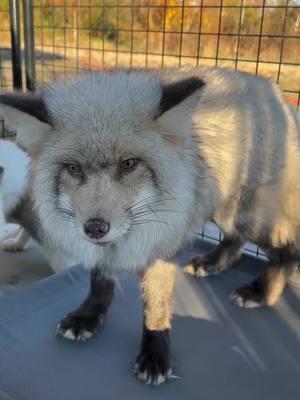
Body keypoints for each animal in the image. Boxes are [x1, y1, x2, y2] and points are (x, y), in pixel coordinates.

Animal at [0, 67, 298, 386]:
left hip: (244, 214)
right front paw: (88, 317)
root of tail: (271, 89)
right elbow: (100, 284)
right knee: (236, 241)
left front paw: (155, 354)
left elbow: (156, 307)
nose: (95, 228)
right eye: (73, 169)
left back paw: (261, 292)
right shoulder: (105, 251)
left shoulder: (162, 247)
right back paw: (211, 263)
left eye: (129, 164)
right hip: (222, 207)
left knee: (286, 251)